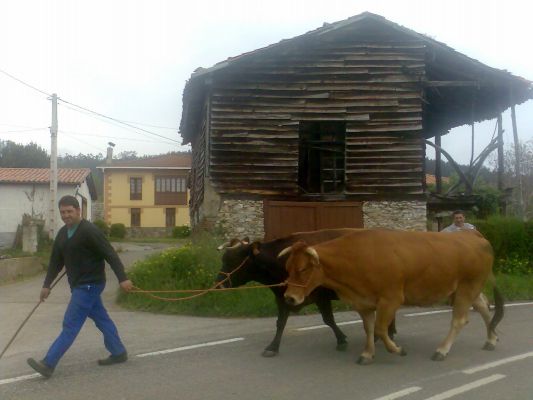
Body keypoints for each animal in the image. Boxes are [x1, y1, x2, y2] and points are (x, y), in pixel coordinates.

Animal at [282, 230, 502, 364]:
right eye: (288, 268)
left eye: (303, 269)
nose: (289, 298)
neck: (356, 257)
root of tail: (470, 233)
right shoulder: (363, 302)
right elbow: (369, 328)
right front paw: (367, 354)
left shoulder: (391, 299)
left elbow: (380, 329)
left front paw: (397, 349)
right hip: (466, 289)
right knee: (484, 306)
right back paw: (491, 339)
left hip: (467, 287)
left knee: (459, 320)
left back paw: (442, 350)